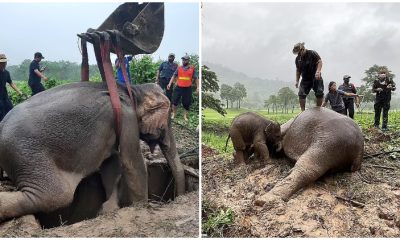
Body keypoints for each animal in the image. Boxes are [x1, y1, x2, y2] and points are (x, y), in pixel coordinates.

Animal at [0, 82, 184, 221]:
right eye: (167, 122)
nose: (179, 197)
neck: (132, 90)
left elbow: (112, 161)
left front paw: (109, 208)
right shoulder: (127, 117)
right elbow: (131, 162)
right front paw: (145, 207)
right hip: (25, 153)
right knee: (56, 195)